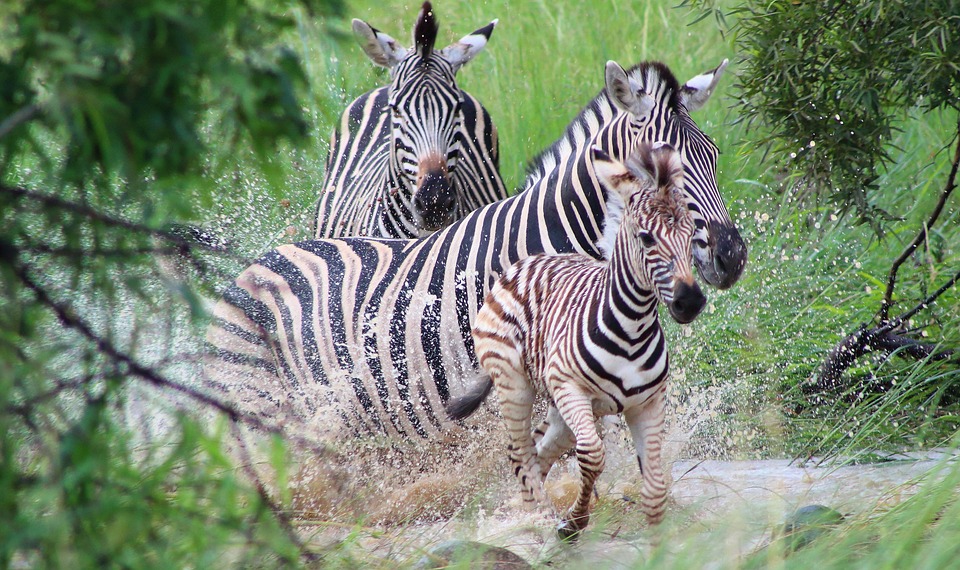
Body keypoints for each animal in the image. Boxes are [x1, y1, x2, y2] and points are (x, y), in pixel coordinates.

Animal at [447, 142, 703, 539]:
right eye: (646, 238)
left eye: (692, 234)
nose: (690, 301)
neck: (632, 328)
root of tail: (524, 264)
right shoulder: (570, 387)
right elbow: (593, 456)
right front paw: (574, 522)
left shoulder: (647, 403)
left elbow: (656, 483)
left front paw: (658, 540)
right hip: (517, 384)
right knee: (521, 454)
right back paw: (540, 518)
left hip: (563, 409)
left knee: (540, 453)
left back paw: (533, 512)